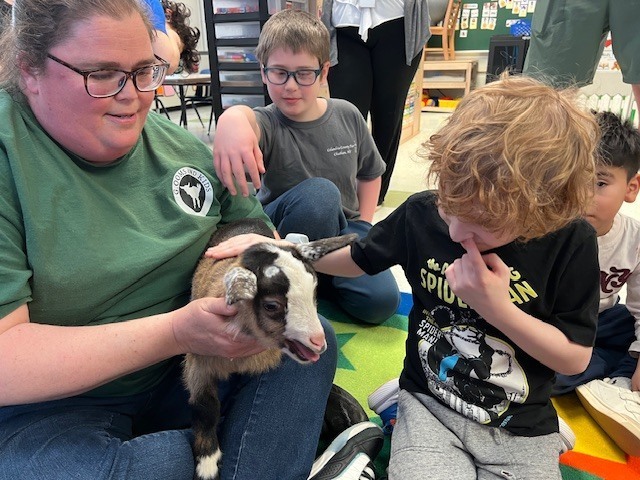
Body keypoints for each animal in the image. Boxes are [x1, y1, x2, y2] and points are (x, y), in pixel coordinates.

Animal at [183, 218, 357, 480]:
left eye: (314, 292)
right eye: (272, 306)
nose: (319, 342)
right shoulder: (199, 361)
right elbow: (207, 408)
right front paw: (207, 465)